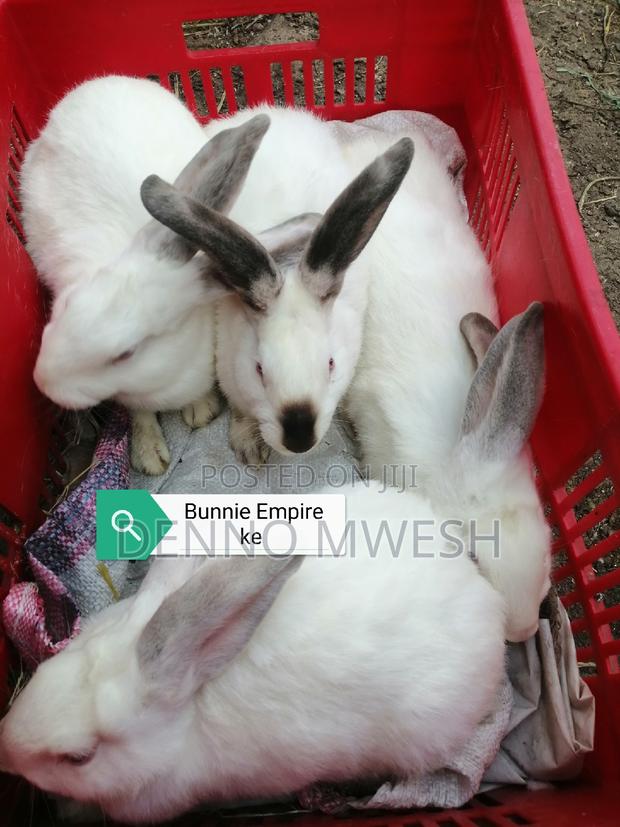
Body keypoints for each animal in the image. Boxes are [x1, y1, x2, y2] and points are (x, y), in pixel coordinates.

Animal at [21, 75, 269, 474]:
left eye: (127, 353)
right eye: (65, 305)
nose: (42, 380)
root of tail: (94, 85)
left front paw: (200, 408)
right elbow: (137, 412)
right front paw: (149, 453)